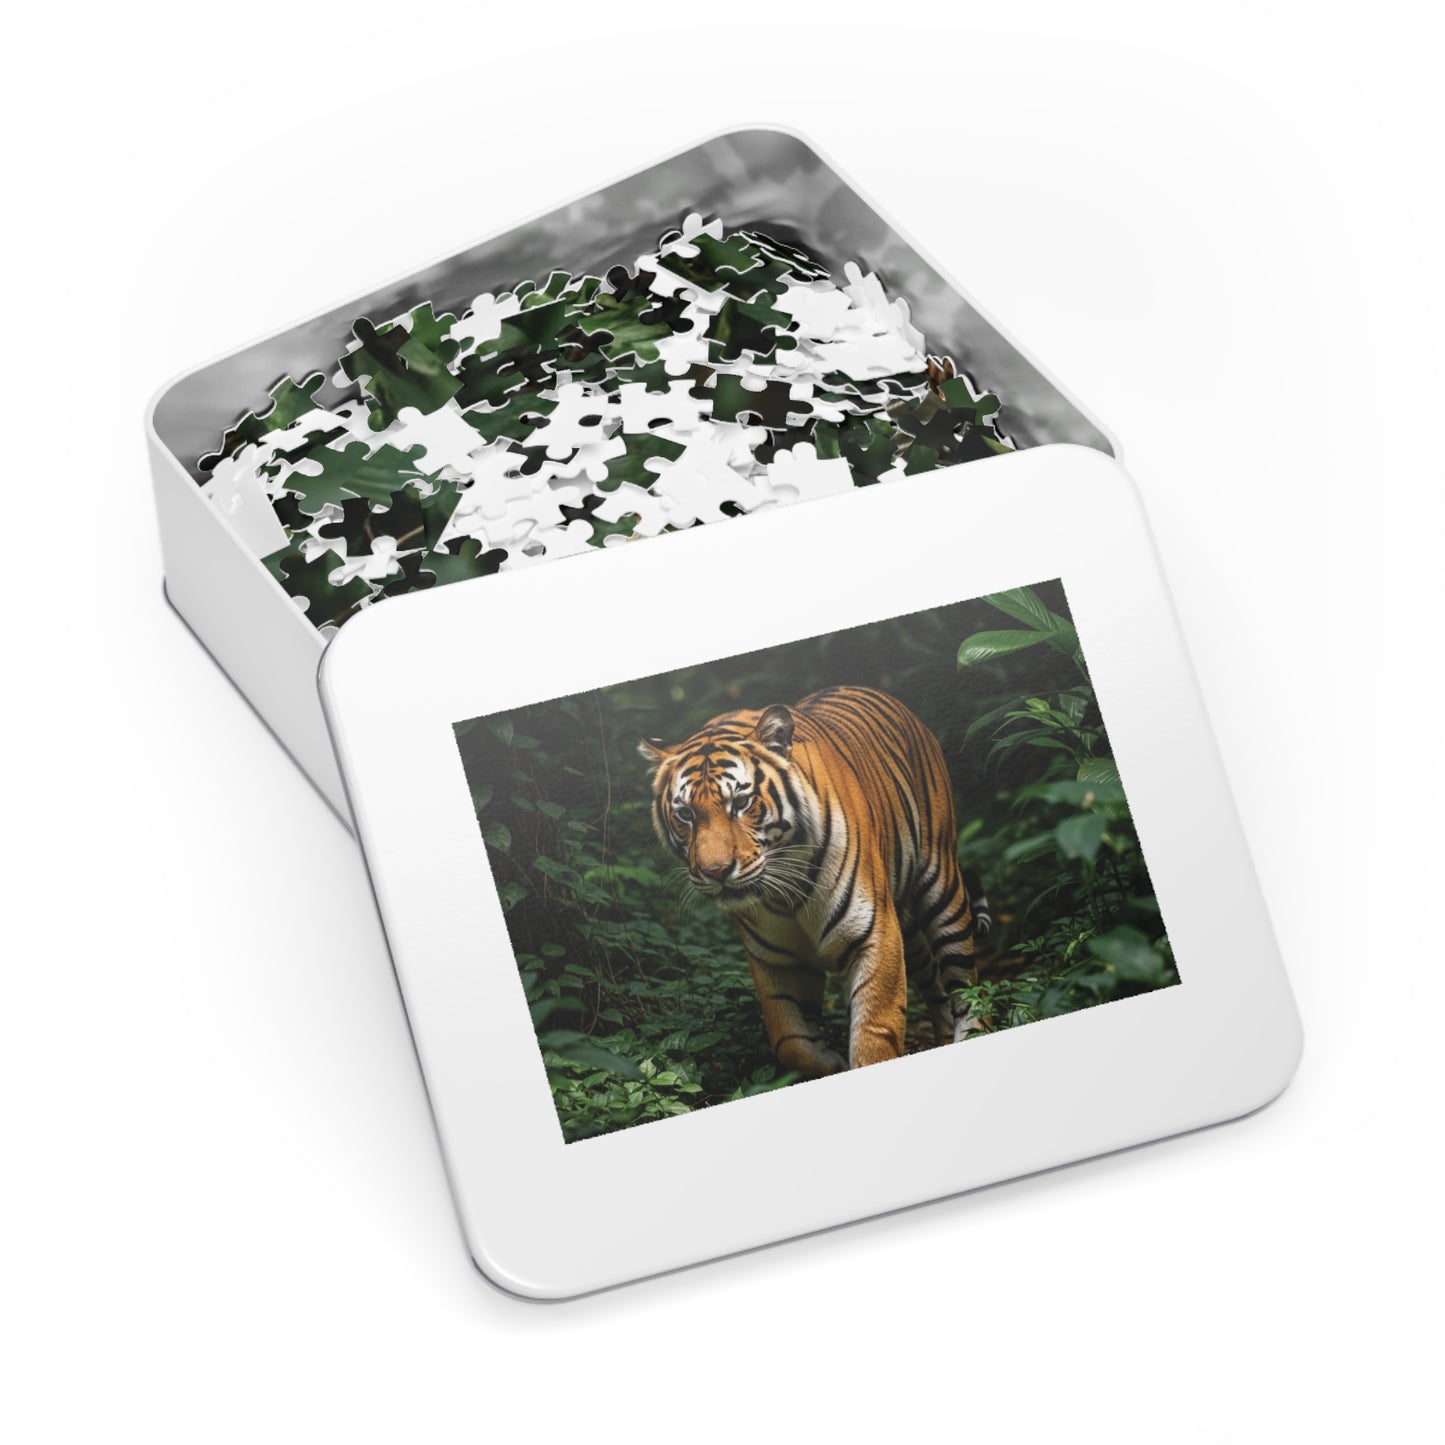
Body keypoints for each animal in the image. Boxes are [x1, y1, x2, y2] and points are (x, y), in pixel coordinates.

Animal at [640, 685, 990, 1078]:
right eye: (685, 814)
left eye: (741, 802)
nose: (716, 871)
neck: (783, 893)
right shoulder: (774, 959)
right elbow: (790, 1042)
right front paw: (831, 1062)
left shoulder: (875, 935)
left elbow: (875, 1035)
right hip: (907, 927)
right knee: (933, 981)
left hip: (942, 886)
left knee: (967, 985)